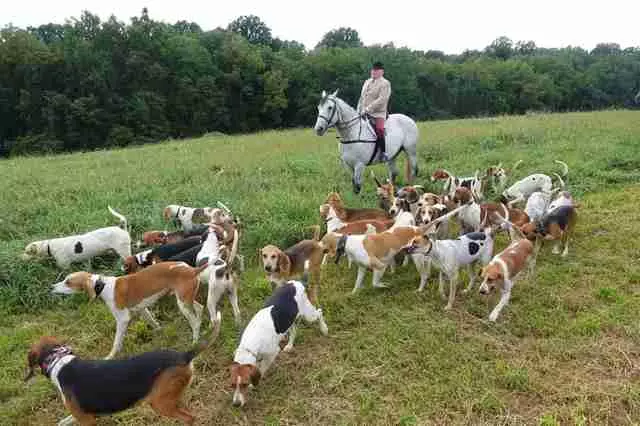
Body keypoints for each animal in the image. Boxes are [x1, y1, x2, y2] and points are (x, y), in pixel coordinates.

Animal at [23, 320, 220, 426]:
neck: (58, 360)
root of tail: (184, 355)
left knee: (188, 418)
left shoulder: (86, 420)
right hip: (173, 397)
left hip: (159, 403)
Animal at [53, 262, 208, 360]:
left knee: (194, 323)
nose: (52, 287)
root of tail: (192, 270)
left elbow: (117, 342)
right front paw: (160, 332)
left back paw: (194, 341)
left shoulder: (122, 319)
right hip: (186, 299)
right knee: (200, 309)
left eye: (68, 282)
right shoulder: (142, 310)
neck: (102, 285)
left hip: (183, 303)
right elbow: (153, 323)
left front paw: (110, 356)